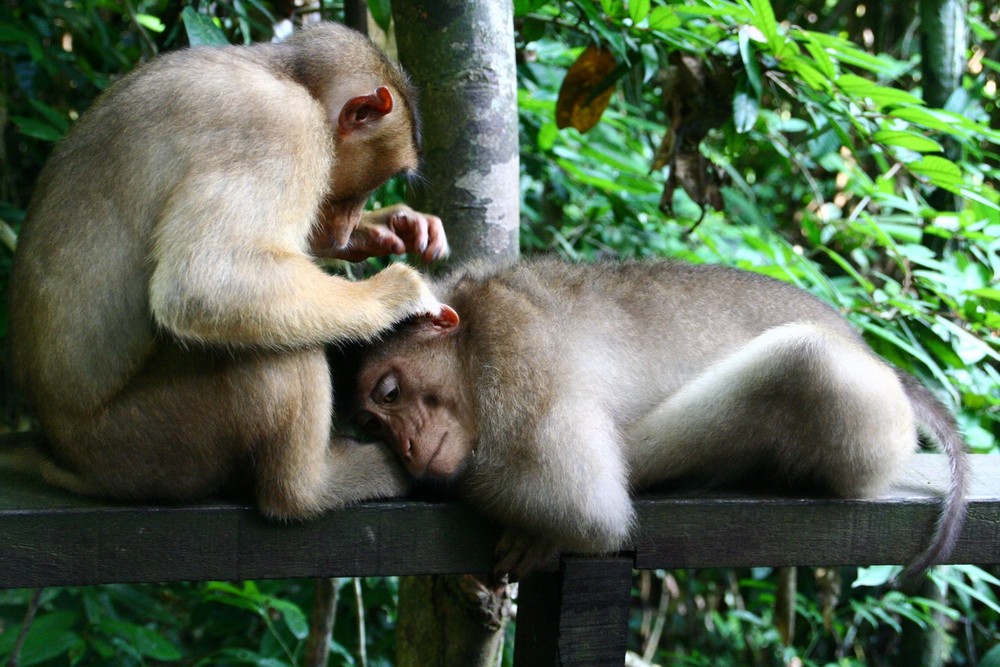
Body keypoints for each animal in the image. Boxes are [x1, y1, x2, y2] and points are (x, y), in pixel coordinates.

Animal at [8, 20, 450, 520]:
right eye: (362, 187)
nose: (345, 226)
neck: (288, 77)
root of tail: (72, 461)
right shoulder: (282, 130)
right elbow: (207, 281)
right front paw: (397, 293)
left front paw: (390, 227)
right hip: (151, 442)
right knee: (269, 345)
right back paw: (308, 489)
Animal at [352, 258, 968, 580]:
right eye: (374, 426)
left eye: (390, 392)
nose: (407, 447)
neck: (472, 324)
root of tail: (868, 349)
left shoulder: (514, 352)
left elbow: (587, 508)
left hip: (875, 422)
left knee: (804, 358)